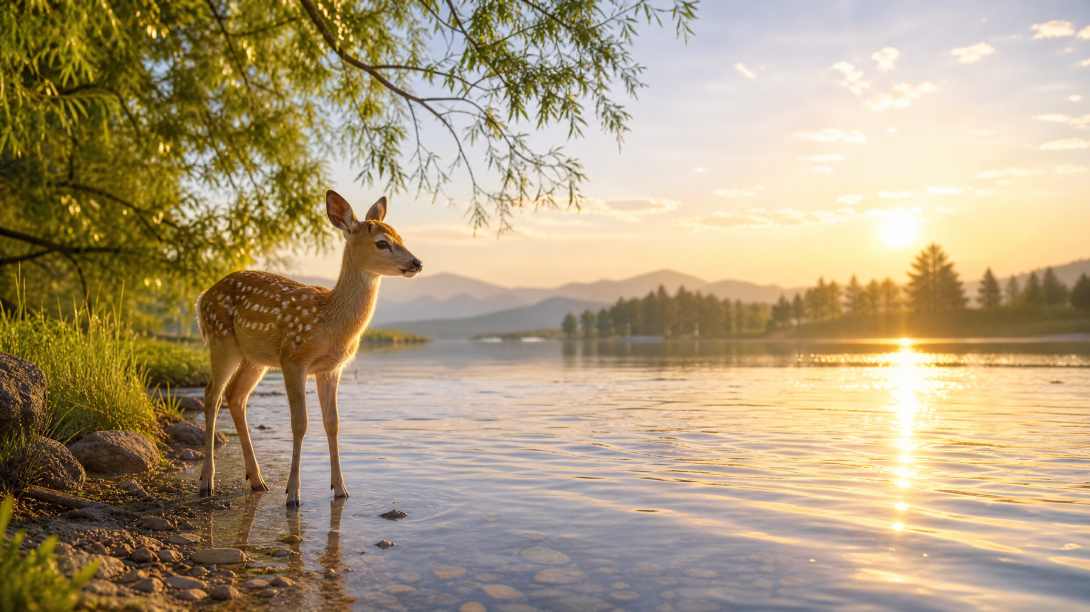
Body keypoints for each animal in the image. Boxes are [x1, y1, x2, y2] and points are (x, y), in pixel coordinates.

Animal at [195, 190, 422, 506]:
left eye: (400, 236)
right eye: (382, 242)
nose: (417, 263)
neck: (330, 320)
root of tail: (201, 298)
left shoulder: (331, 369)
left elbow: (333, 423)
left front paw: (340, 488)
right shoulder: (293, 357)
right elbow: (300, 423)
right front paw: (293, 494)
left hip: (256, 358)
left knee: (235, 396)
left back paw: (257, 480)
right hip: (221, 340)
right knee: (211, 395)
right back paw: (207, 481)